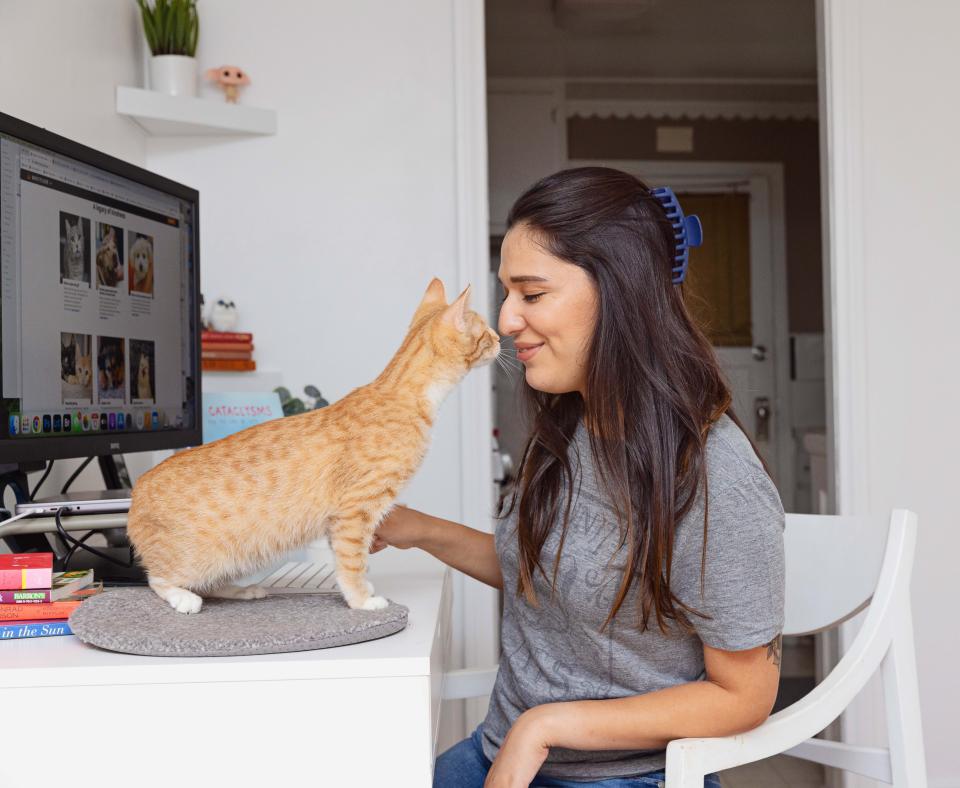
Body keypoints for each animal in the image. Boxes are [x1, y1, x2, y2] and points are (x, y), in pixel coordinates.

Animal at [126, 278, 498, 616]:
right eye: (485, 331)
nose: (498, 338)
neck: (403, 393)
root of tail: (136, 491)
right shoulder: (355, 509)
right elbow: (352, 562)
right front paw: (362, 600)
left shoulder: (347, 519)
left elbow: (348, 558)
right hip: (201, 557)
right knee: (158, 579)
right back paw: (183, 597)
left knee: (210, 583)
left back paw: (242, 590)